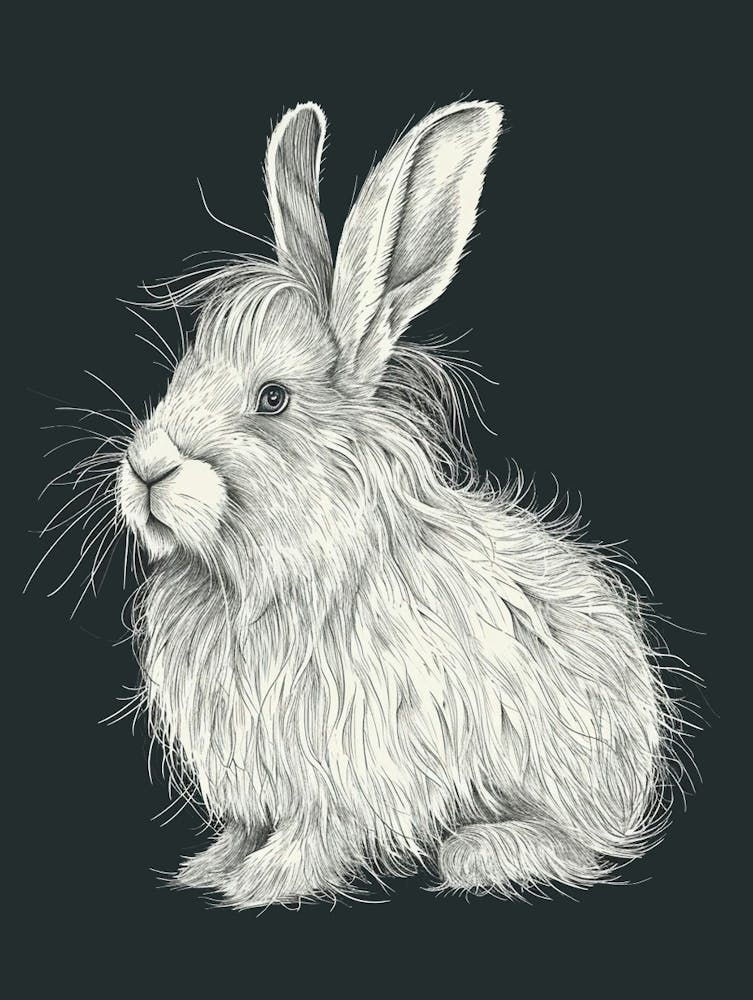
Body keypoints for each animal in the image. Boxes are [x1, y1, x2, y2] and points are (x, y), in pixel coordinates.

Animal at [113, 100, 682, 908]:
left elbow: (316, 832)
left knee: (572, 844)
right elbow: (250, 826)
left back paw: (481, 853)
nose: (146, 468)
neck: (266, 574)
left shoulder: (343, 770)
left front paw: (262, 884)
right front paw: (213, 868)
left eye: (272, 399)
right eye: (183, 373)